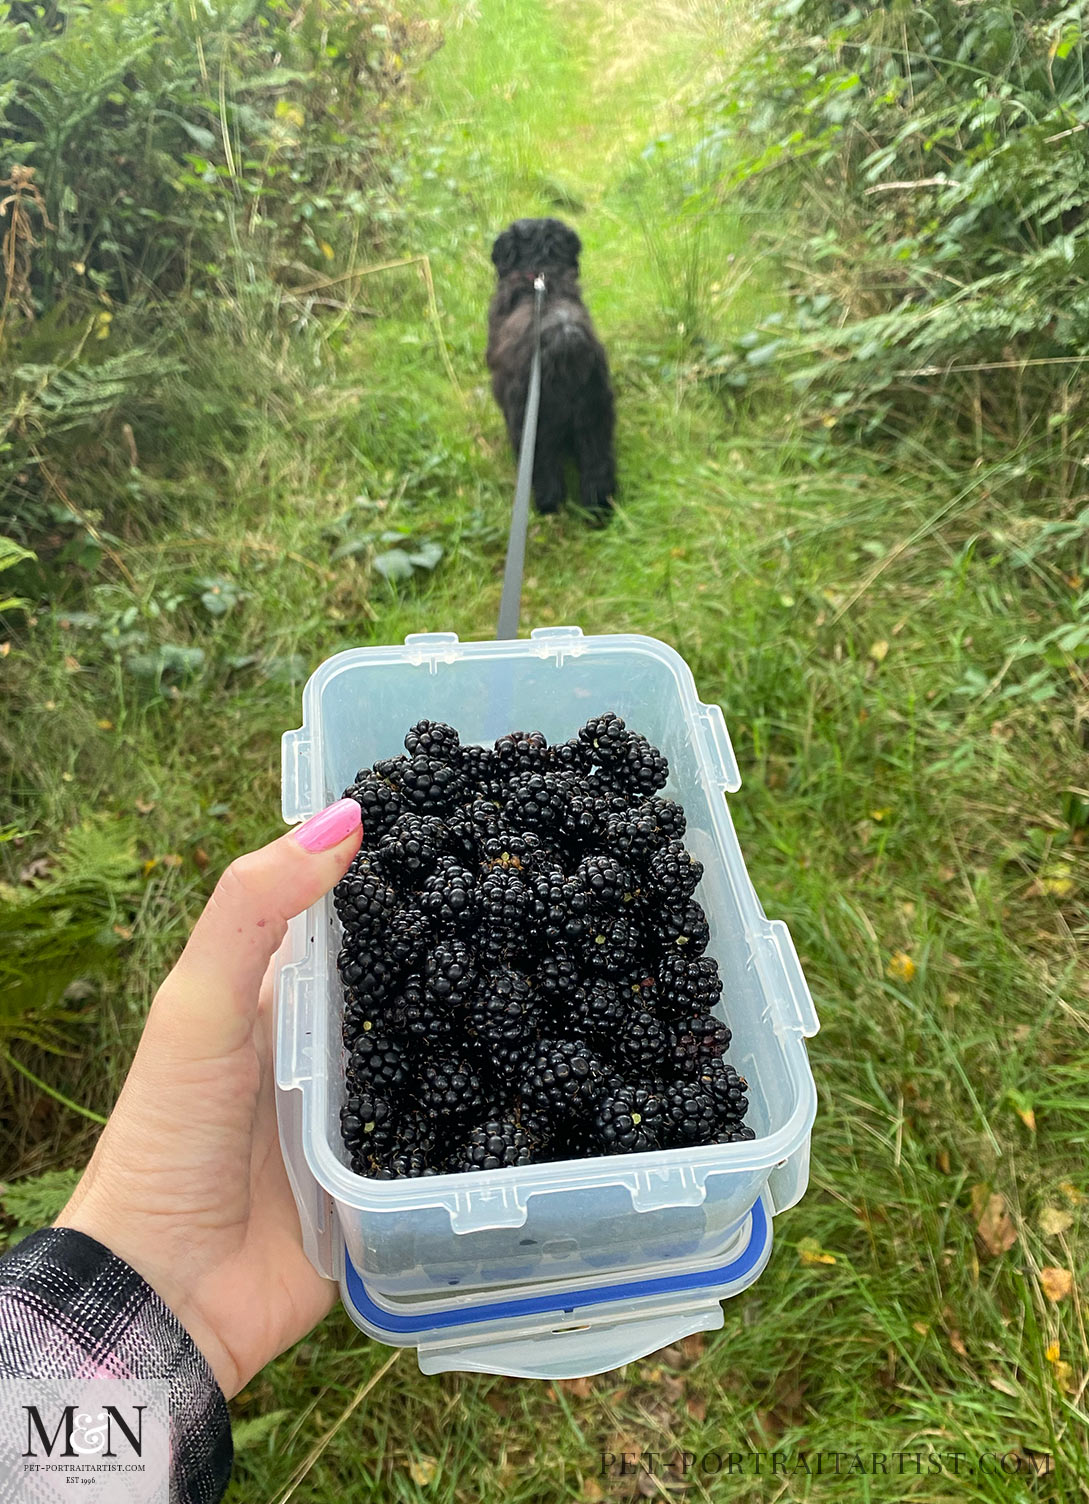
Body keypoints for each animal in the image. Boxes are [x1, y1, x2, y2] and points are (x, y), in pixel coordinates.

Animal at [484, 215, 613, 514]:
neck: (538, 274)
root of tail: (565, 341)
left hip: (532, 428)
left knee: (545, 475)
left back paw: (546, 508)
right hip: (595, 419)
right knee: (598, 470)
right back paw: (600, 510)